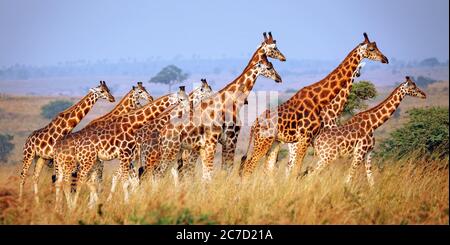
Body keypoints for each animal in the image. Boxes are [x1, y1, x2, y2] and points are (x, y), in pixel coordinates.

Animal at [54, 86, 190, 211]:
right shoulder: (126, 154)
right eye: (181, 99)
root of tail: (56, 147)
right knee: (78, 180)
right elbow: (127, 182)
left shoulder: (130, 157)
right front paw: (127, 203)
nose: (189, 108)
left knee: (69, 181)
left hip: (84, 162)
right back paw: (73, 207)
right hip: (82, 161)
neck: (132, 125)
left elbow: (133, 181)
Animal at [142, 55, 282, 182]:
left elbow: (216, 171)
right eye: (269, 67)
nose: (279, 78)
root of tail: (162, 132)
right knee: (160, 172)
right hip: (171, 150)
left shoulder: (220, 142)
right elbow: (219, 171)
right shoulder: (229, 139)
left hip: (178, 151)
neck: (232, 101)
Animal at [241, 33, 388, 177]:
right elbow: (298, 170)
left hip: (274, 142)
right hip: (264, 141)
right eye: (371, 49)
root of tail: (254, 125)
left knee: (266, 168)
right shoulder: (306, 138)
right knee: (249, 167)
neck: (319, 100)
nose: (385, 59)